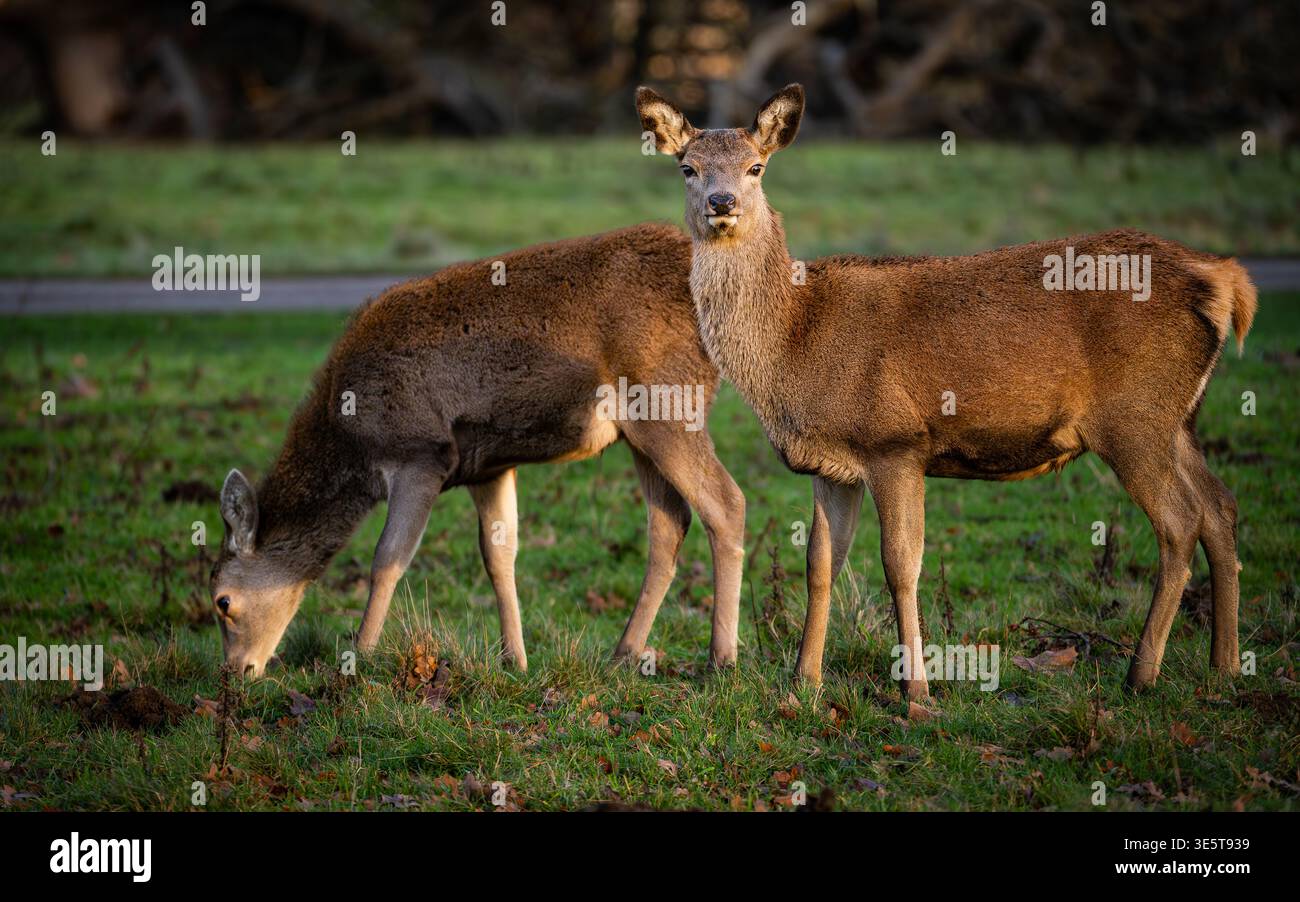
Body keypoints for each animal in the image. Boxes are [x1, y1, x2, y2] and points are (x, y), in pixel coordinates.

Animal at [210, 223, 745, 678]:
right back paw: (624, 652)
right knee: (670, 522)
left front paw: (358, 656)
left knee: (726, 502)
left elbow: (388, 558)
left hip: (668, 403)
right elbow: (498, 556)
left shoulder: (421, 453)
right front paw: (516, 660)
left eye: (222, 600)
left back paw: (721, 658)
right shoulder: (489, 466)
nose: (236, 672)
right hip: (640, 431)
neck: (351, 439)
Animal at [637, 83, 1256, 699]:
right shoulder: (830, 465)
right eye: (688, 167)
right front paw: (804, 682)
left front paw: (916, 691)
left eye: (756, 167)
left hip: (1135, 417)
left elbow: (899, 565)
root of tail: (1223, 280)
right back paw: (1224, 665)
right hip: (1179, 417)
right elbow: (820, 564)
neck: (794, 340)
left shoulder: (895, 441)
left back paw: (1142, 673)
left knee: (1180, 520)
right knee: (1220, 505)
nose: (722, 202)